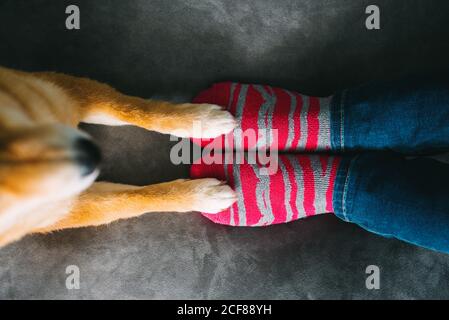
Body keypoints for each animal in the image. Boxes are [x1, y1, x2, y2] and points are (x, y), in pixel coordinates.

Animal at [0, 66, 238, 248]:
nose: (92, 156)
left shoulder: (66, 92)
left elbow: (133, 109)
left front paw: (201, 120)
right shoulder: (66, 210)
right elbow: (129, 200)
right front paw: (201, 196)